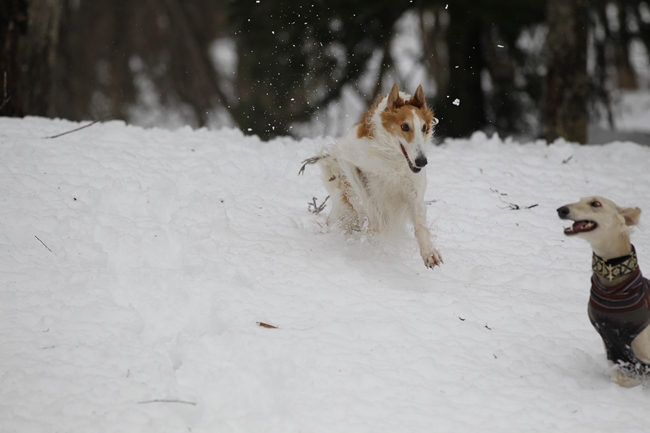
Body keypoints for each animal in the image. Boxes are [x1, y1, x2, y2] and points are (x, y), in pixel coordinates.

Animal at [300, 83, 440, 266]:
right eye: (405, 127)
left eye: (424, 128)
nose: (422, 161)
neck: (392, 160)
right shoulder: (345, 158)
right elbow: (367, 202)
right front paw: (376, 227)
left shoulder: (414, 192)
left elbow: (420, 226)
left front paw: (429, 253)